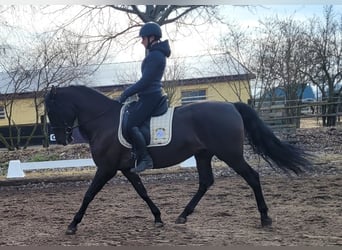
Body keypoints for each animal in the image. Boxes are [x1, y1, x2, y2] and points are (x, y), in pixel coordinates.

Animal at [44, 85, 312, 234]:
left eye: (52, 109)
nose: (61, 139)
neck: (104, 121)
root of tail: (232, 107)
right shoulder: (126, 169)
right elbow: (142, 192)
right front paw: (158, 218)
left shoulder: (107, 168)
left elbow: (88, 195)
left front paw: (72, 225)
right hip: (203, 154)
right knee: (206, 182)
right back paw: (182, 215)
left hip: (230, 154)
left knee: (252, 177)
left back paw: (265, 218)